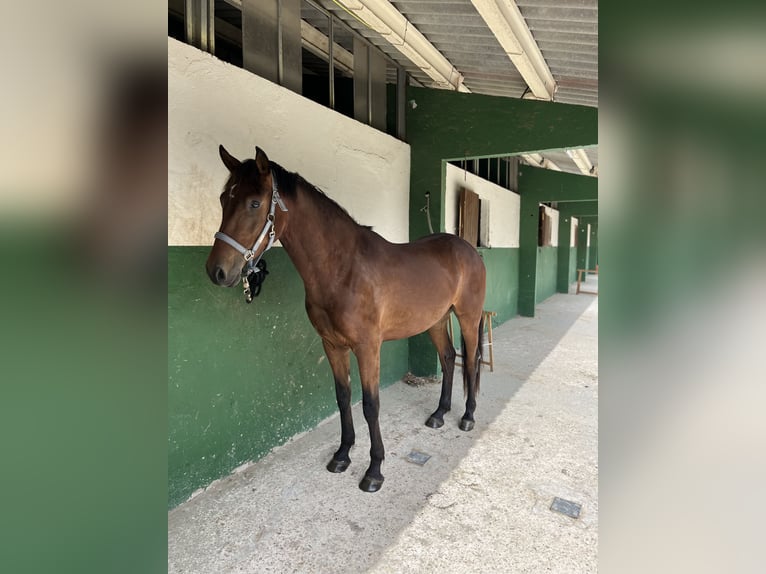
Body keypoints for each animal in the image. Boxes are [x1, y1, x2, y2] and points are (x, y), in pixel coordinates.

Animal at [205, 145, 486, 492]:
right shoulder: (332, 345)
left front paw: (374, 470)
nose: (217, 271)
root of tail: (468, 249)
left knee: (470, 361)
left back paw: (467, 417)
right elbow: (343, 397)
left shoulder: (368, 348)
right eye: (223, 199)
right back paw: (439, 414)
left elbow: (370, 404)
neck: (344, 269)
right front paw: (342, 455)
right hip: (435, 320)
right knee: (448, 358)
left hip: (468, 317)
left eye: (254, 203)